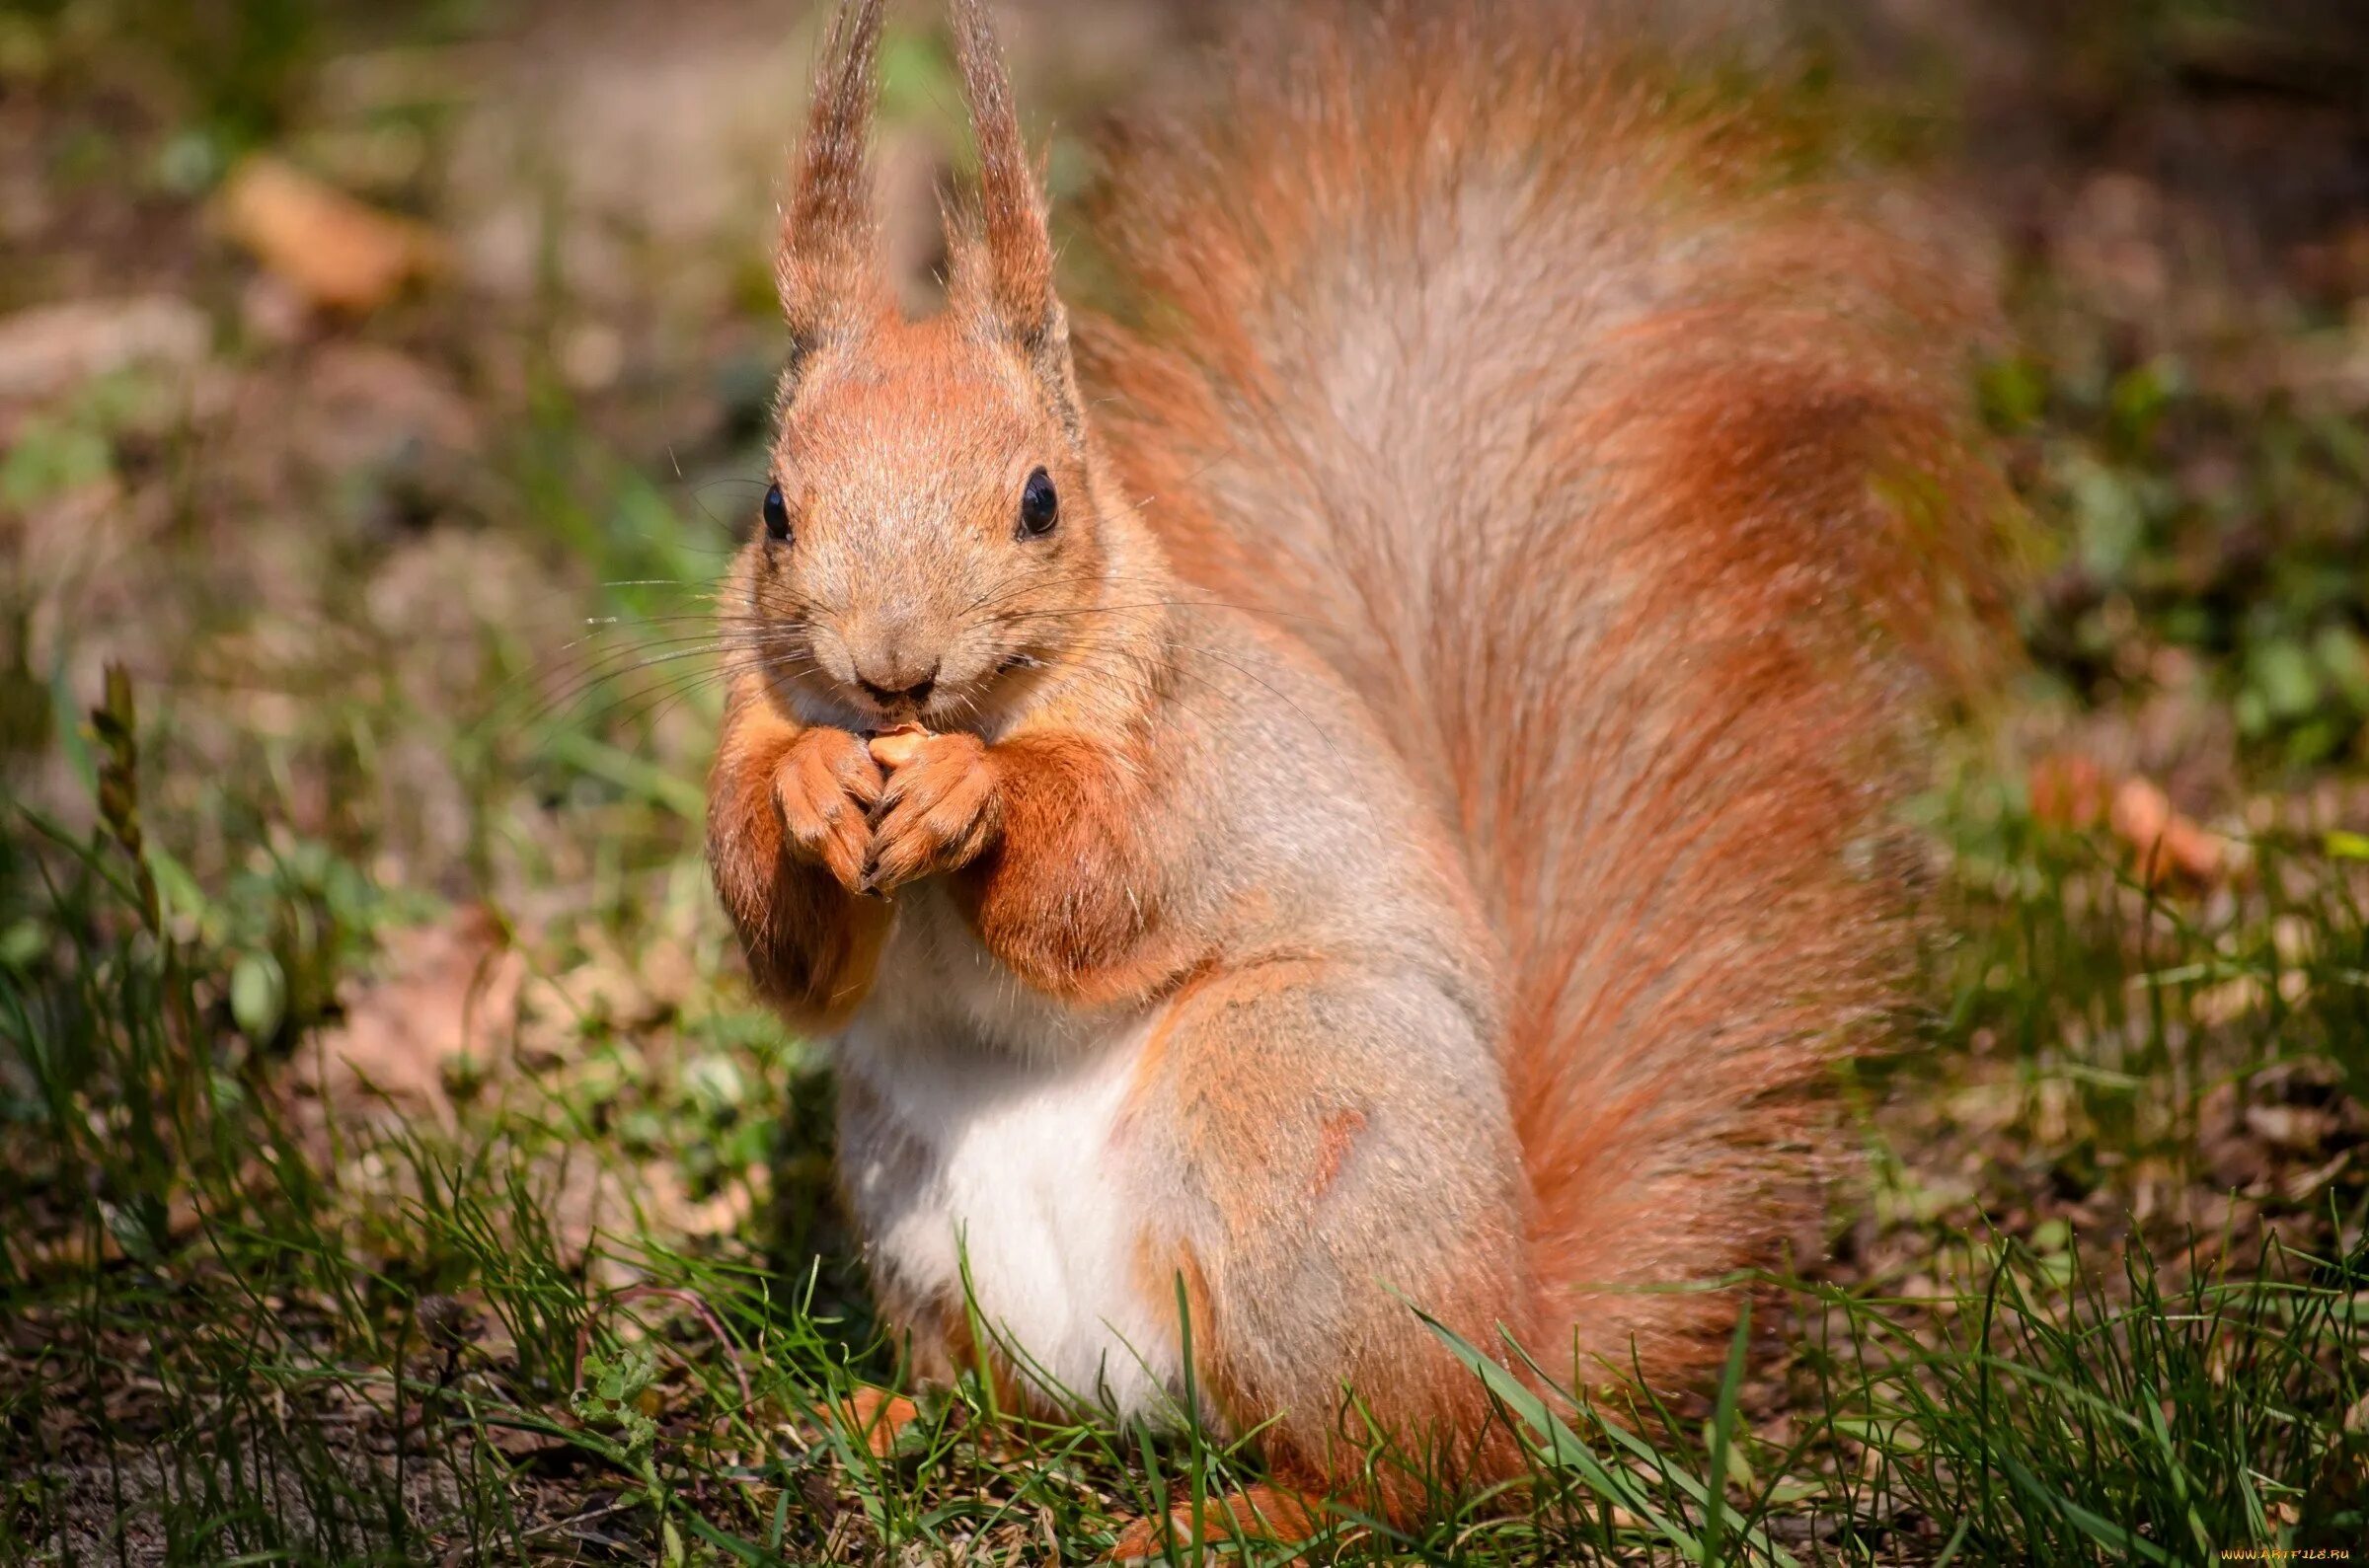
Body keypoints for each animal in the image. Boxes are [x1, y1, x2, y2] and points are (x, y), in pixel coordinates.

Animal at [706, 0, 1999, 1543]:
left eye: (1041, 500)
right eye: (776, 508)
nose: (893, 671)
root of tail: (1514, 1351)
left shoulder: (1186, 754)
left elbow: (1098, 873)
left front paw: (978, 798)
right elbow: (788, 948)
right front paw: (805, 790)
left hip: (1294, 1113)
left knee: (1410, 1476)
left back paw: (1238, 1522)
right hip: (912, 1189)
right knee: (1017, 1410)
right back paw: (897, 1416)